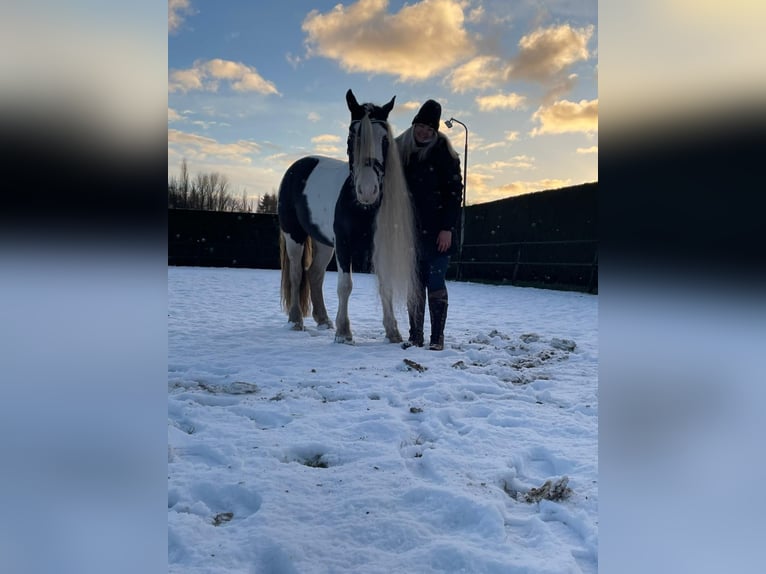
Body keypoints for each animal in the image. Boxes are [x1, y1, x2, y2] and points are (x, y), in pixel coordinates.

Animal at [277, 89, 417, 344]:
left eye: (385, 140)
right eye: (352, 138)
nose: (367, 191)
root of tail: (296, 167)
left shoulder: (378, 245)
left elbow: (386, 285)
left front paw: (393, 332)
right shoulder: (343, 243)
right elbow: (345, 285)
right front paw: (344, 333)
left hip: (324, 243)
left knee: (314, 274)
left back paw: (323, 320)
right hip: (295, 236)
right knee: (296, 274)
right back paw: (296, 321)